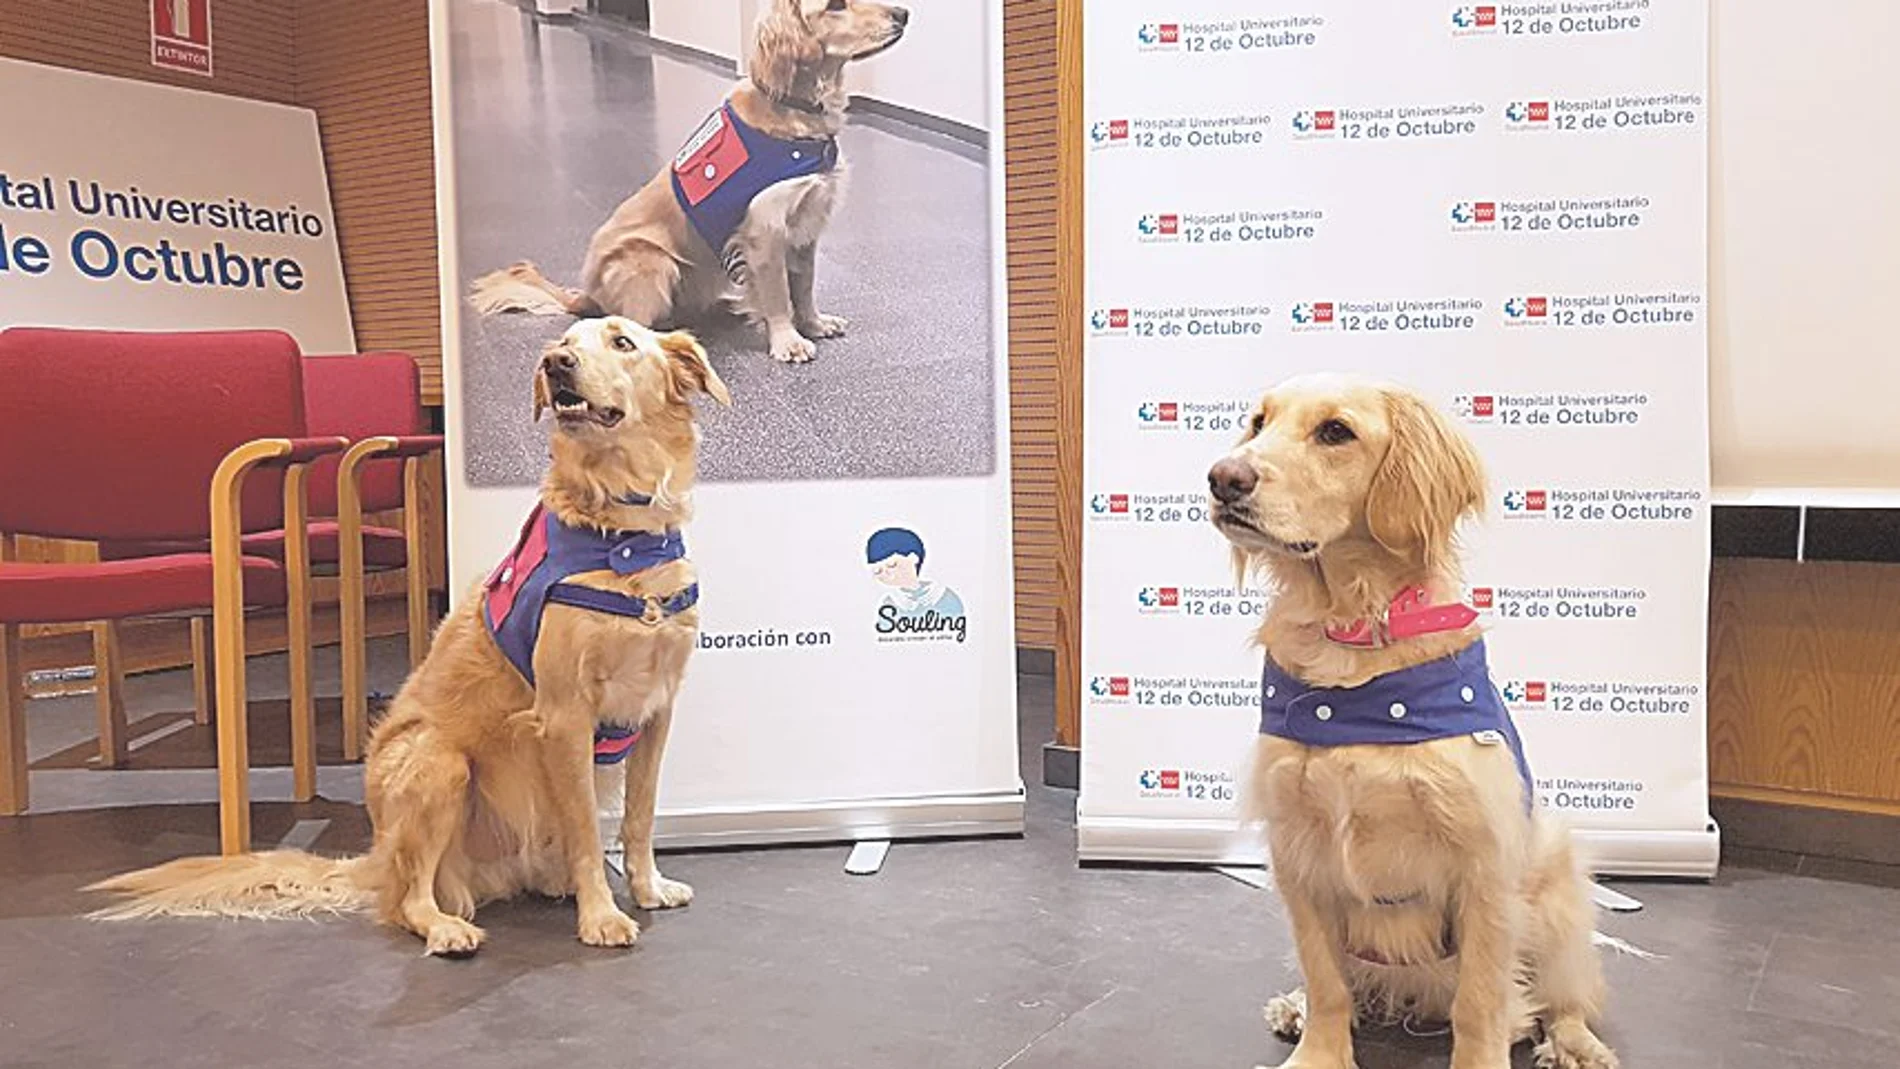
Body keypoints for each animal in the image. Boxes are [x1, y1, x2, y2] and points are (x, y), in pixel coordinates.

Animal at [87, 313, 725, 956]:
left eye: (623, 342)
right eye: (564, 345)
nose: (556, 364)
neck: (622, 539)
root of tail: (377, 858)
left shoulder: (655, 709)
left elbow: (640, 815)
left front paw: (647, 887)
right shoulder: (564, 715)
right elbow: (588, 833)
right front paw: (601, 916)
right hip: (436, 762)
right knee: (406, 900)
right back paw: (447, 926)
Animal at [463, 0, 900, 366]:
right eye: (835, 5)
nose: (904, 13)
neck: (794, 109)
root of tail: (585, 295)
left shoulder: (808, 224)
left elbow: (803, 286)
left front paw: (813, 323)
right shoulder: (765, 231)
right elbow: (778, 292)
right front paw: (787, 340)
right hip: (651, 261)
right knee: (628, 323)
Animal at [1208, 374, 1611, 1069]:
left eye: (1336, 431)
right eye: (1258, 423)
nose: (1223, 478)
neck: (1350, 633)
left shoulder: (1483, 861)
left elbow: (1479, 1000)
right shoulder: (1297, 852)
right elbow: (1326, 980)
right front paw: (1319, 1050)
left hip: (1559, 890)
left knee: (1564, 995)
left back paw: (1573, 1041)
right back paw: (1296, 1006)